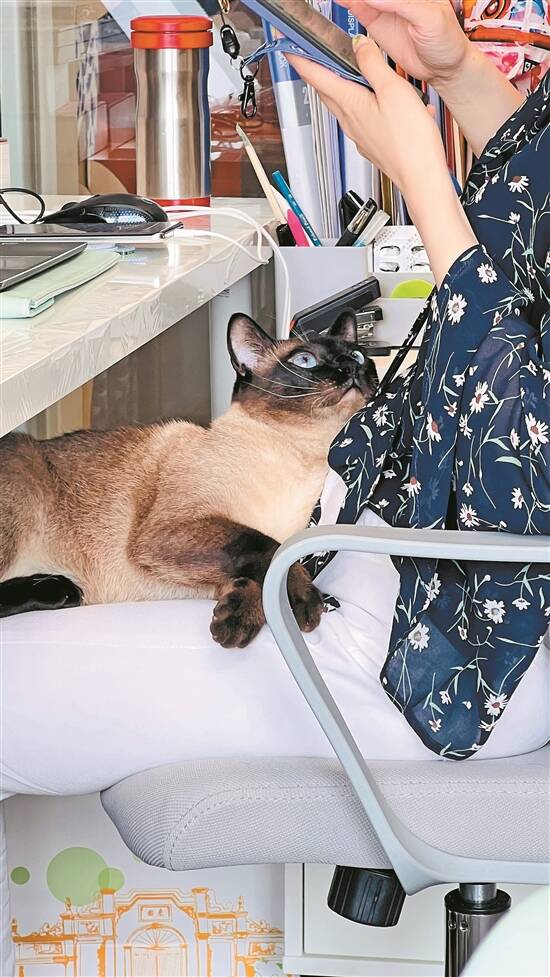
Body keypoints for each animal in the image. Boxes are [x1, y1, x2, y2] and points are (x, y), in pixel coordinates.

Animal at [0, 311, 377, 647]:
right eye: (305, 360)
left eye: (358, 355)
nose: (351, 368)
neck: (301, 454)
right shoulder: (172, 531)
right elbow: (267, 547)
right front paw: (302, 603)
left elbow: (260, 567)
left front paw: (234, 621)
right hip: (22, 483)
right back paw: (58, 589)